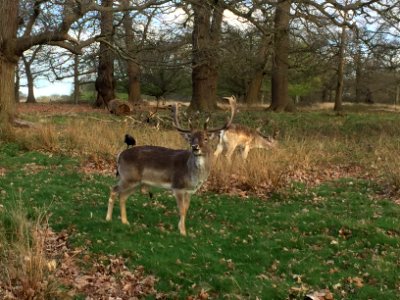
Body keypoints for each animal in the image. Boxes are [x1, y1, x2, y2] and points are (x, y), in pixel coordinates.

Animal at [106, 97, 238, 236]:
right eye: (191, 138)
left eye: (206, 138)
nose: (195, 147)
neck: (192, 175)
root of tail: (119, 156)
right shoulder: (178, 186)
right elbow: (181, 209)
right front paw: (183, 232)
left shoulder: (190, 190)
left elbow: (186, 209)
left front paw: (182, 229)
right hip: (128, 177)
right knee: (114, 190)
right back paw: (108, 218)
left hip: (137, 182)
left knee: (122, 196)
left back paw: (125, 221)